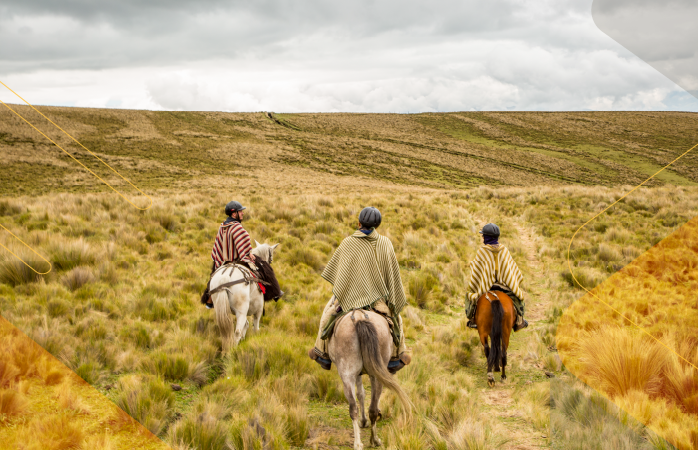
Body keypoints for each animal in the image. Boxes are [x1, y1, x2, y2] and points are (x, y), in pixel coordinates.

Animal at [328, 310, 410, 450]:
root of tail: (359, 317)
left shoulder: (359, 374)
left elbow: (361, 393)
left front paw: (363, 421)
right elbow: (362, 394)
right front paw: (364, 421)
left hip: (348, 375)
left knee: (355, 408)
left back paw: (360, 443)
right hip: (371, 374)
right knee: (371, 409)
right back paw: (373, 440)